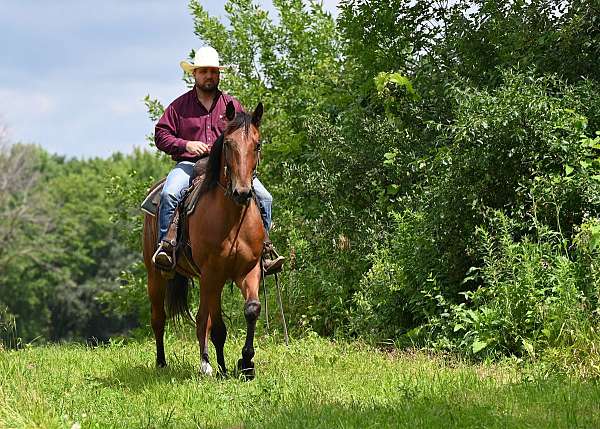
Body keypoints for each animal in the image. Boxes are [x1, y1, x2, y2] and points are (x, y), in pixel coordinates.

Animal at [143, 101, 264, 378]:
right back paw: (165, 362)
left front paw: (246, 363)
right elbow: (214, 325)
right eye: (228, 144)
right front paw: (218, 367)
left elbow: (251, 309)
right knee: (159, 319)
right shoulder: (213, 274)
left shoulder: (248, 270)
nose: (242, 192)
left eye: (257, 144)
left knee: (204, 318)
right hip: (156, 275)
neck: (233, 219)